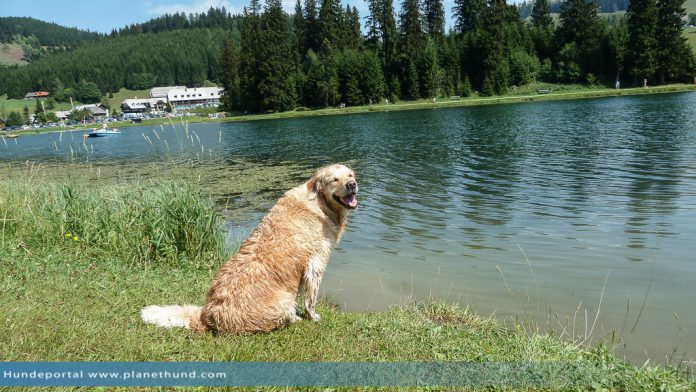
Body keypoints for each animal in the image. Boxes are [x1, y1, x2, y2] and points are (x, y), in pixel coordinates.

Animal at [141, 164, 358, 332]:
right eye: (334, 179)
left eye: (350, 175)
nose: (352, 184)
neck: (320, 203)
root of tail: (207, 318)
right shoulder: (316, 263)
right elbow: (310, 299)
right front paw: (313, 317)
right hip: (283, 301)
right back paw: (295, 318)